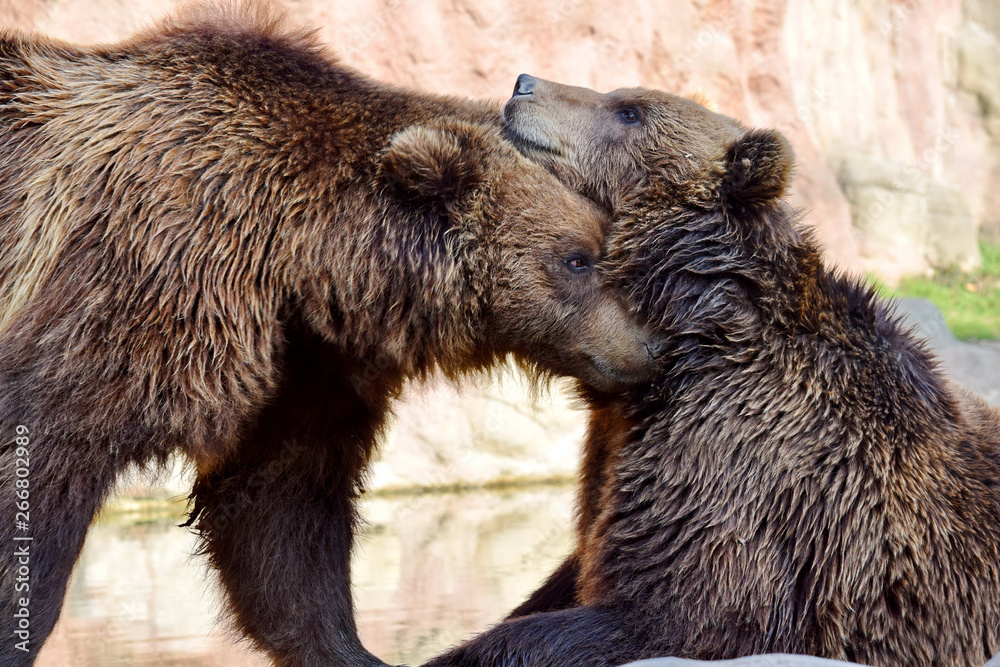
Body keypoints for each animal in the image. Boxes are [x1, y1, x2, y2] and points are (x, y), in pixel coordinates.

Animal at [0, 13, 663, 666]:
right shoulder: (139, 286)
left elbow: (279, 510)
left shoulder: (305, 367)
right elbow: (47, 455)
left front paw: (350, 650)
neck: (299, 259)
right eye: (578, 259)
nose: (653, 344)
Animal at [421, 76, 1000, 666]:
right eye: (620, 96)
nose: (524, 84)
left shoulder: (746, 465)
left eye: (629, 111)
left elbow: (677, 611)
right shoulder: (618, 448)